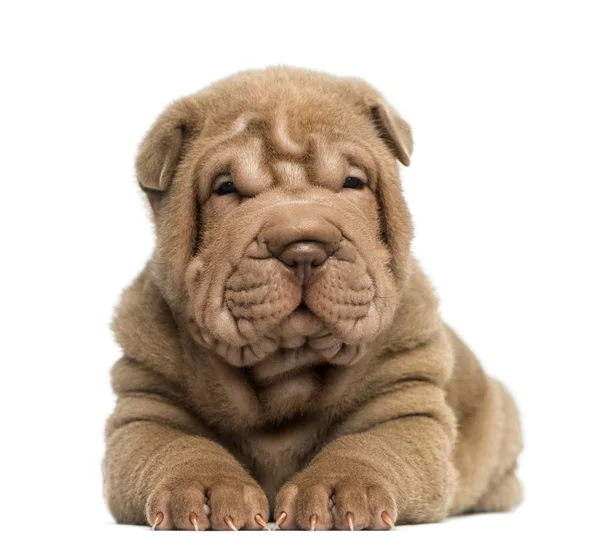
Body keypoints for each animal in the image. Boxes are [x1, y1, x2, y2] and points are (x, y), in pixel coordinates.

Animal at [105, 66, 524, 528]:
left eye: (353, 182)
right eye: (226, 188)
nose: (304, 248)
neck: (287, 365)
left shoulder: (406, 406)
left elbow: (367, 445)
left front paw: (339, 489)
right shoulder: (146, 408)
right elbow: (179, 447)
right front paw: (206, 488)